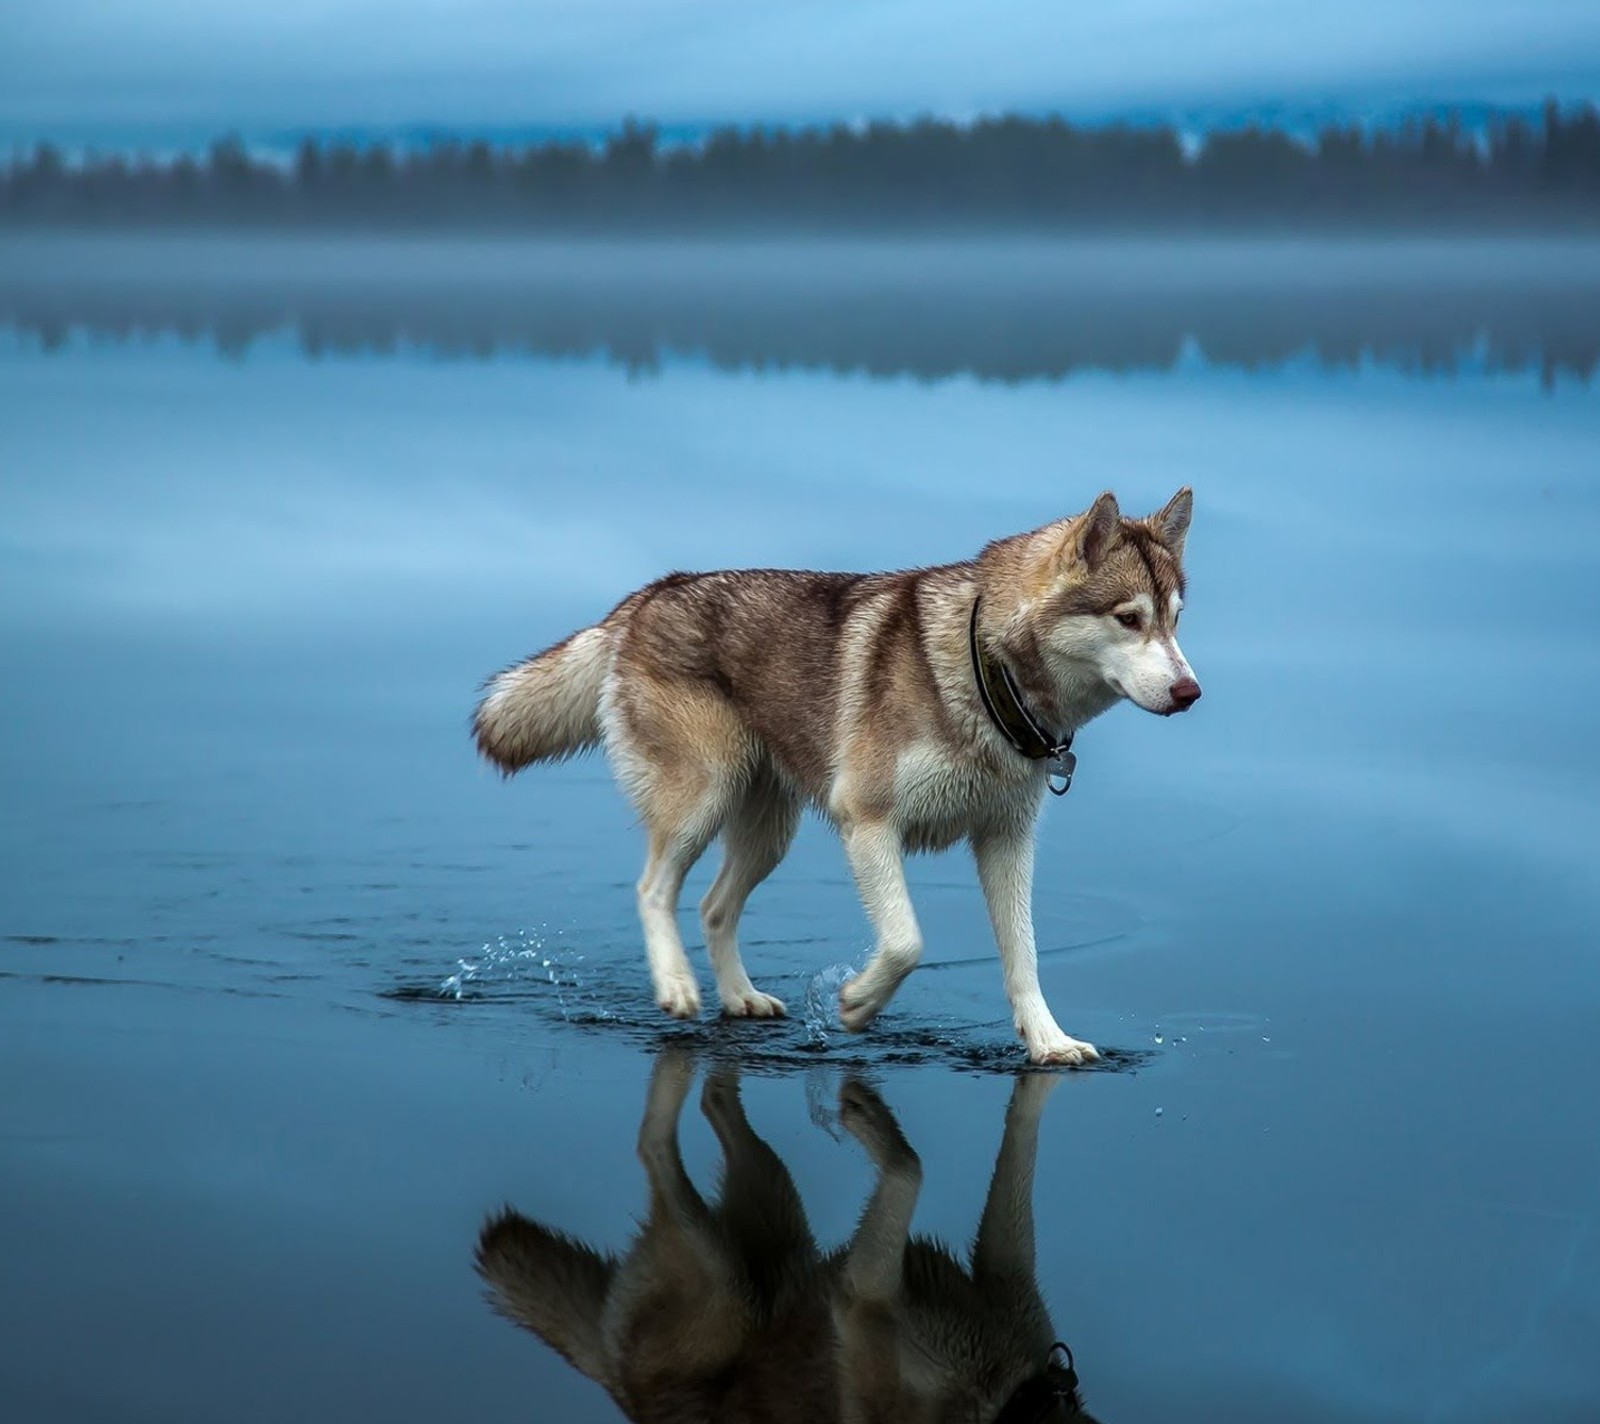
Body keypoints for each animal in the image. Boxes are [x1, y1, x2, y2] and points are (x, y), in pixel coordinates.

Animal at [473, 489, 1203, 1056]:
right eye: (1129, 619)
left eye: (1174, 622)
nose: (1191, 692)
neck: (985, 674)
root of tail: (653, 592)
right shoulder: (869, 822)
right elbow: (907, 941)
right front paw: (856, 1003)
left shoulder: (1006, 841)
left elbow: (1022, 956)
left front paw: (1049, 1043)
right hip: (701, 801)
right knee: (654, 888)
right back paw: (677, 986)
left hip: (769, 832)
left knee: (713, 907)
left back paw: (740, 998)